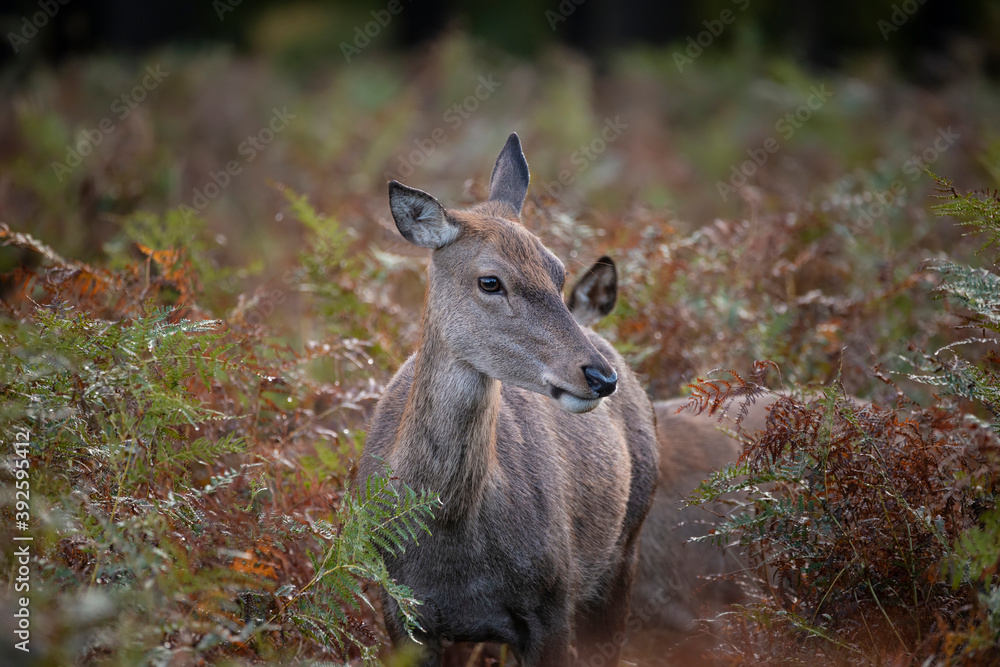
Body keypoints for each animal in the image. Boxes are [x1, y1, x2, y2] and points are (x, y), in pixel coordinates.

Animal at [358, 133, 660, 667]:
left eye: (558, 272)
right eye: (490, 281)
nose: (600, 376)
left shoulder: (553, 600)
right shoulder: (400, 612)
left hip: (625, 547)